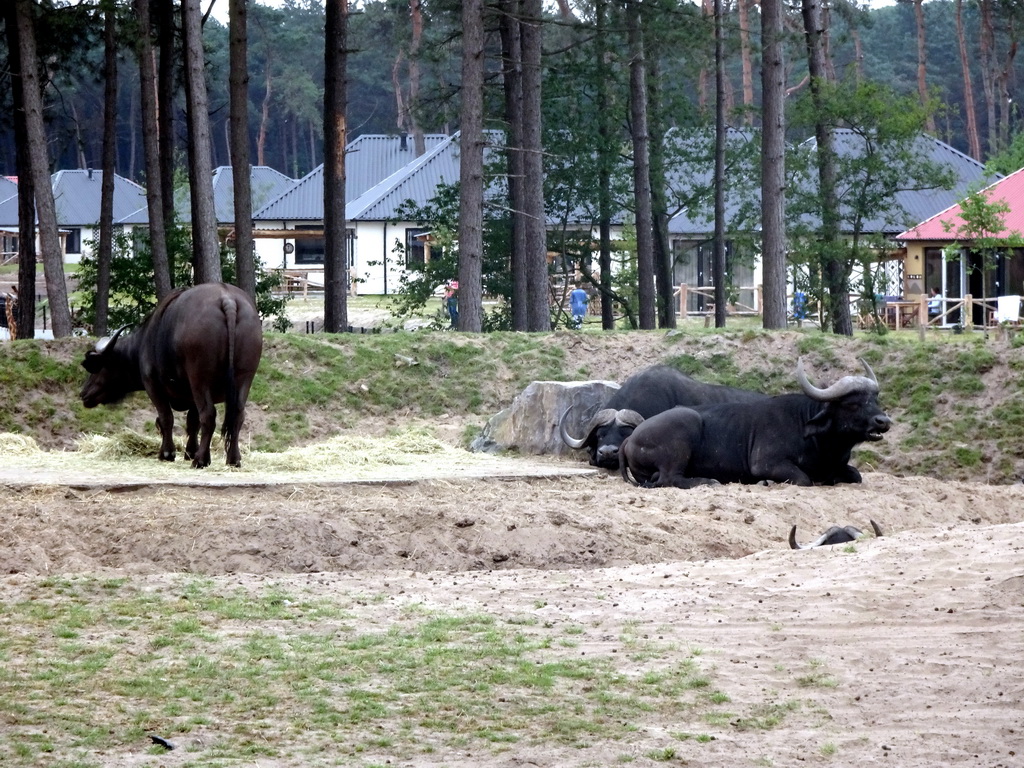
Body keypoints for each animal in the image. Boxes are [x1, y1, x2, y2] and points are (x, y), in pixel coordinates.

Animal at [80, 280, 264, 466]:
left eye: (97, 368)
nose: (83, 394)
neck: (143, 343)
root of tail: (228, 300)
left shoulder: (153, 386)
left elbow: (166, 418)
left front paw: (168, 453)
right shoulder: (192, 396)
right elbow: (192, 421)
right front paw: (190, 451)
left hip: (199, 379)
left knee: (208, 415)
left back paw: (200, 460)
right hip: (244, 378)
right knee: (237, 415)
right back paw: (233, 459)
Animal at [618, 360, 892, 489]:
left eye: (875, 399)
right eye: (853, 403)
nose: (883, 421)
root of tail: (630, 438)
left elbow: (855, 475)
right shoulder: (768, 464)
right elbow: (804, 479)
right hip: (686, 423)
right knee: (669, 478)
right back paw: (708, 481)